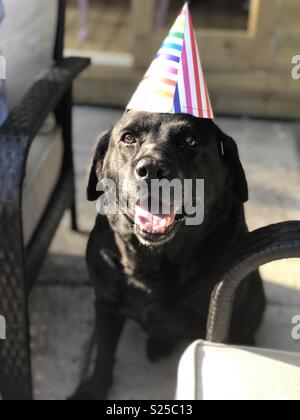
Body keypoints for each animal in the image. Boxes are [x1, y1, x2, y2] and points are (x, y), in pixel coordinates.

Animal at [71, 110, 266, 400]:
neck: (154, 262)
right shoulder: (105, 304)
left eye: (190, 140)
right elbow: (104, 353)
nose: (152, 169)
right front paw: (94, 388)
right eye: (128, 137)